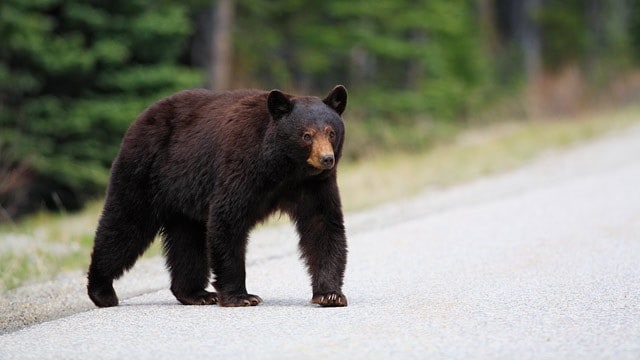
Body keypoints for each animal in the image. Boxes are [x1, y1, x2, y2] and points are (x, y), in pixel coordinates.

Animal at [87, 85, 348, 306]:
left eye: (330, 132)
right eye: (306, 135)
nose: (326, 159)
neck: (284, 167)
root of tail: (140, 118)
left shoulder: (314, 184)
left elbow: (322, 225)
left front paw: (330, 294)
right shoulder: (242, 166)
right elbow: (228, 219)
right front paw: (242, 297)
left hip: (182, 198)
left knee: (187, 240)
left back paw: (196, 294)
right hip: (144, 170)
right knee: (126, 224)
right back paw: (102, 291)